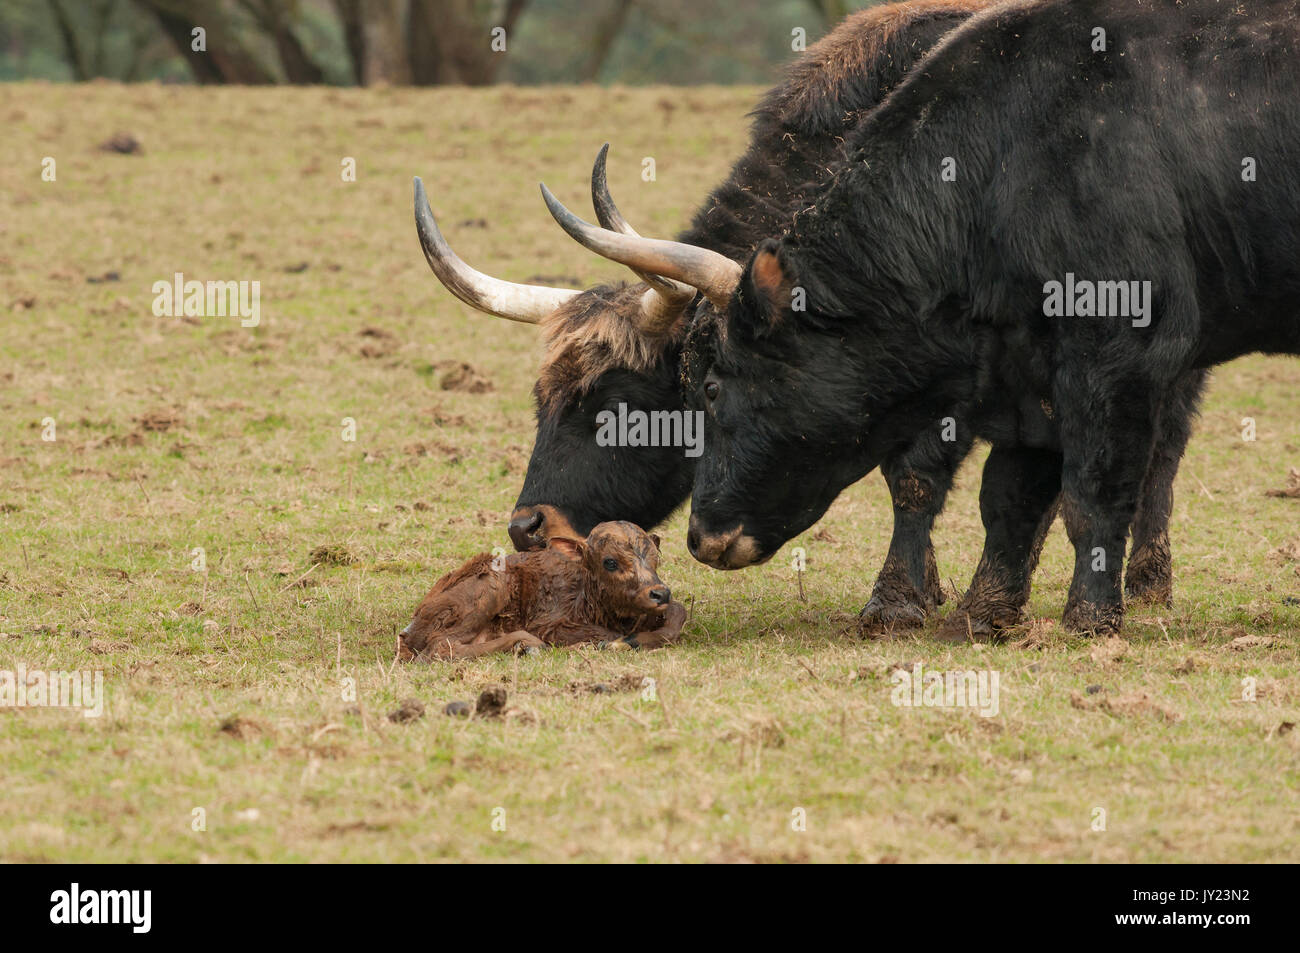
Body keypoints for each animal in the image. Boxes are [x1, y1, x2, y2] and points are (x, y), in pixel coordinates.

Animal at [397, 520, 691, 660]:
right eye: (610, 562)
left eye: (655, 557)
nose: (659, 593)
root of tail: (410, 626)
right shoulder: (550, 624)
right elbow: (604, 635)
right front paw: (614, 643)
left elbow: (678, 612)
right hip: (491, 586)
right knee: (440, 648)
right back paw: (529, 645)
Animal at [686, 0, 1294, 639]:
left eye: (711, 386)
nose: (700, 538)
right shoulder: (1030, 375)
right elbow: (1009, 498)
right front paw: (985, 612)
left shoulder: (1118, 356)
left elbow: (1090, 496)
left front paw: (1088, 618)